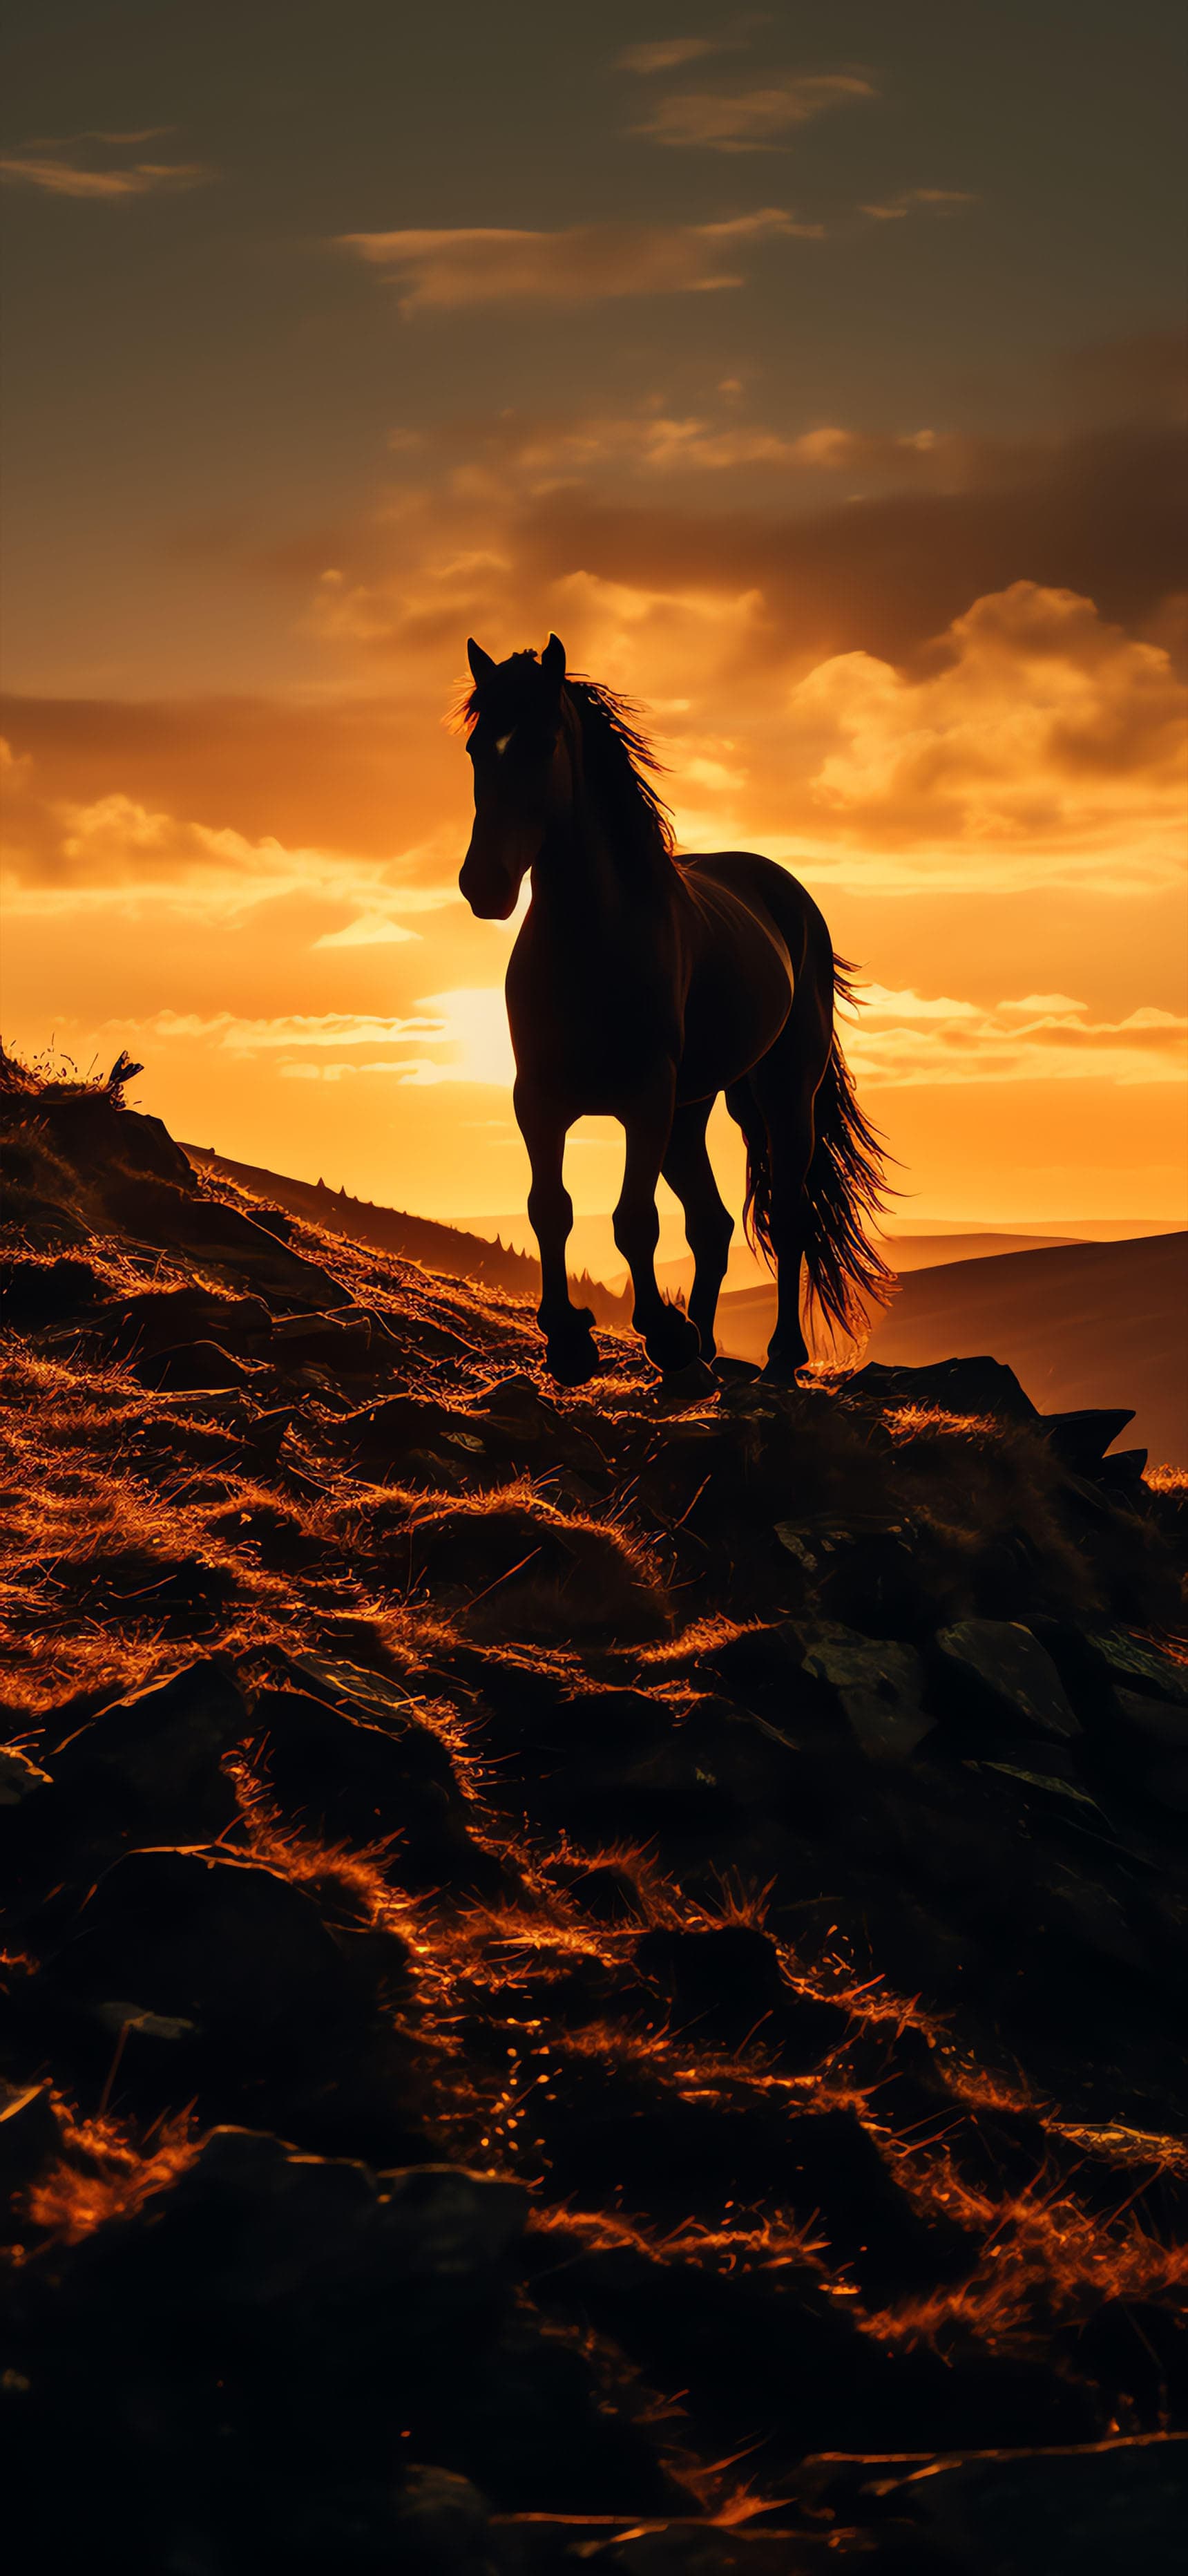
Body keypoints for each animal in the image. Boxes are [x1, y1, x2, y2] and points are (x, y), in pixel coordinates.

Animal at [457, 633, 893, 1384]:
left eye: (543, 742)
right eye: (477, 748)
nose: (484, 885)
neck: (593, 941)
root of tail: (786, 892)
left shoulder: (644, 1098)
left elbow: (633, 1219)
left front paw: (660, 1335)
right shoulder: (537, 1099)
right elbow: (550, 1208)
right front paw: (569, 1340)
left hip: (775, 1095)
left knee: (789, 1215)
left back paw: (778, 1355)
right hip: (691, 1111)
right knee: (711, 1224)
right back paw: (707, 1347)